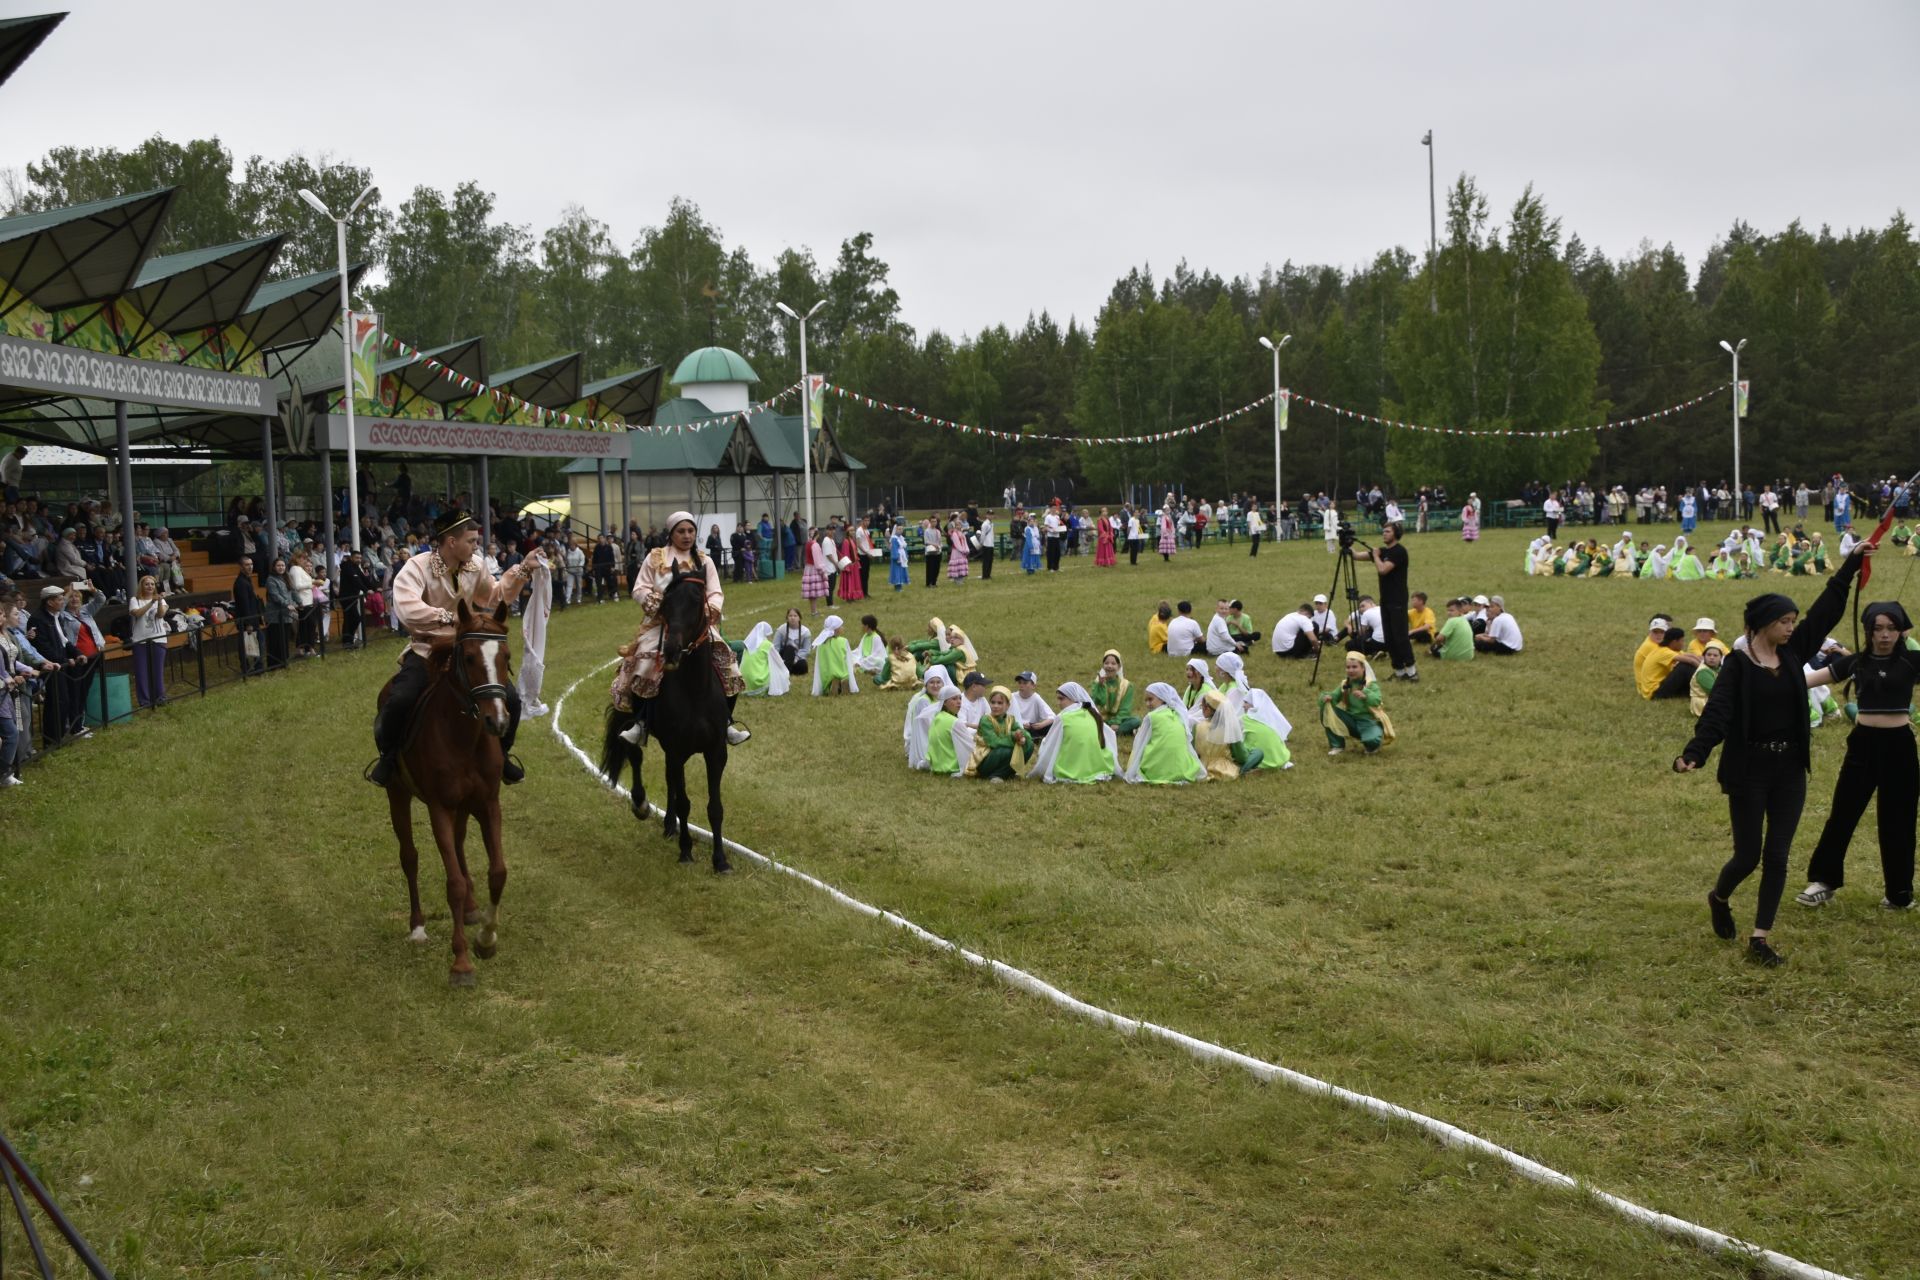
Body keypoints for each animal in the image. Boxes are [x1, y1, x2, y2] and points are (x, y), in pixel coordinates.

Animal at [382, 594, 514, 990]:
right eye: (468, 657)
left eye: (506, 657)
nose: (497, 720)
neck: (463, 734)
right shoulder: (439, 806)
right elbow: (452, 881)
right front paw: (461, 963)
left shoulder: (487, 803)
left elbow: (497, 872)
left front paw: (486, 938)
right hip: (398, 795)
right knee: (409, 857)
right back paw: (418, 927)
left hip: (463, 806)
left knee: (458, 846)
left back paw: (470, 910)